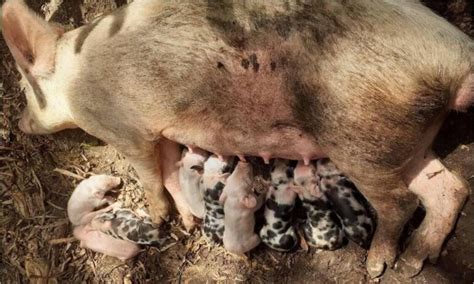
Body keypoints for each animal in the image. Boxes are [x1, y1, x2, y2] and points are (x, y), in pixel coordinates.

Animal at [1, 0, 472, 278]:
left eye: (26, 89)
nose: (20, 123)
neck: (76, 82)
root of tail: (458, 56)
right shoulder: (164, 130)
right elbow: (170, 168)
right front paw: (188, 221)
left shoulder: (126, 129)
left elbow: (150, 175)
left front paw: (156, 217)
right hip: (406, 139)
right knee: (449, 188)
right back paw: (413, 262)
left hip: (362, 139)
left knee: (402, 201)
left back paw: (378, 265)